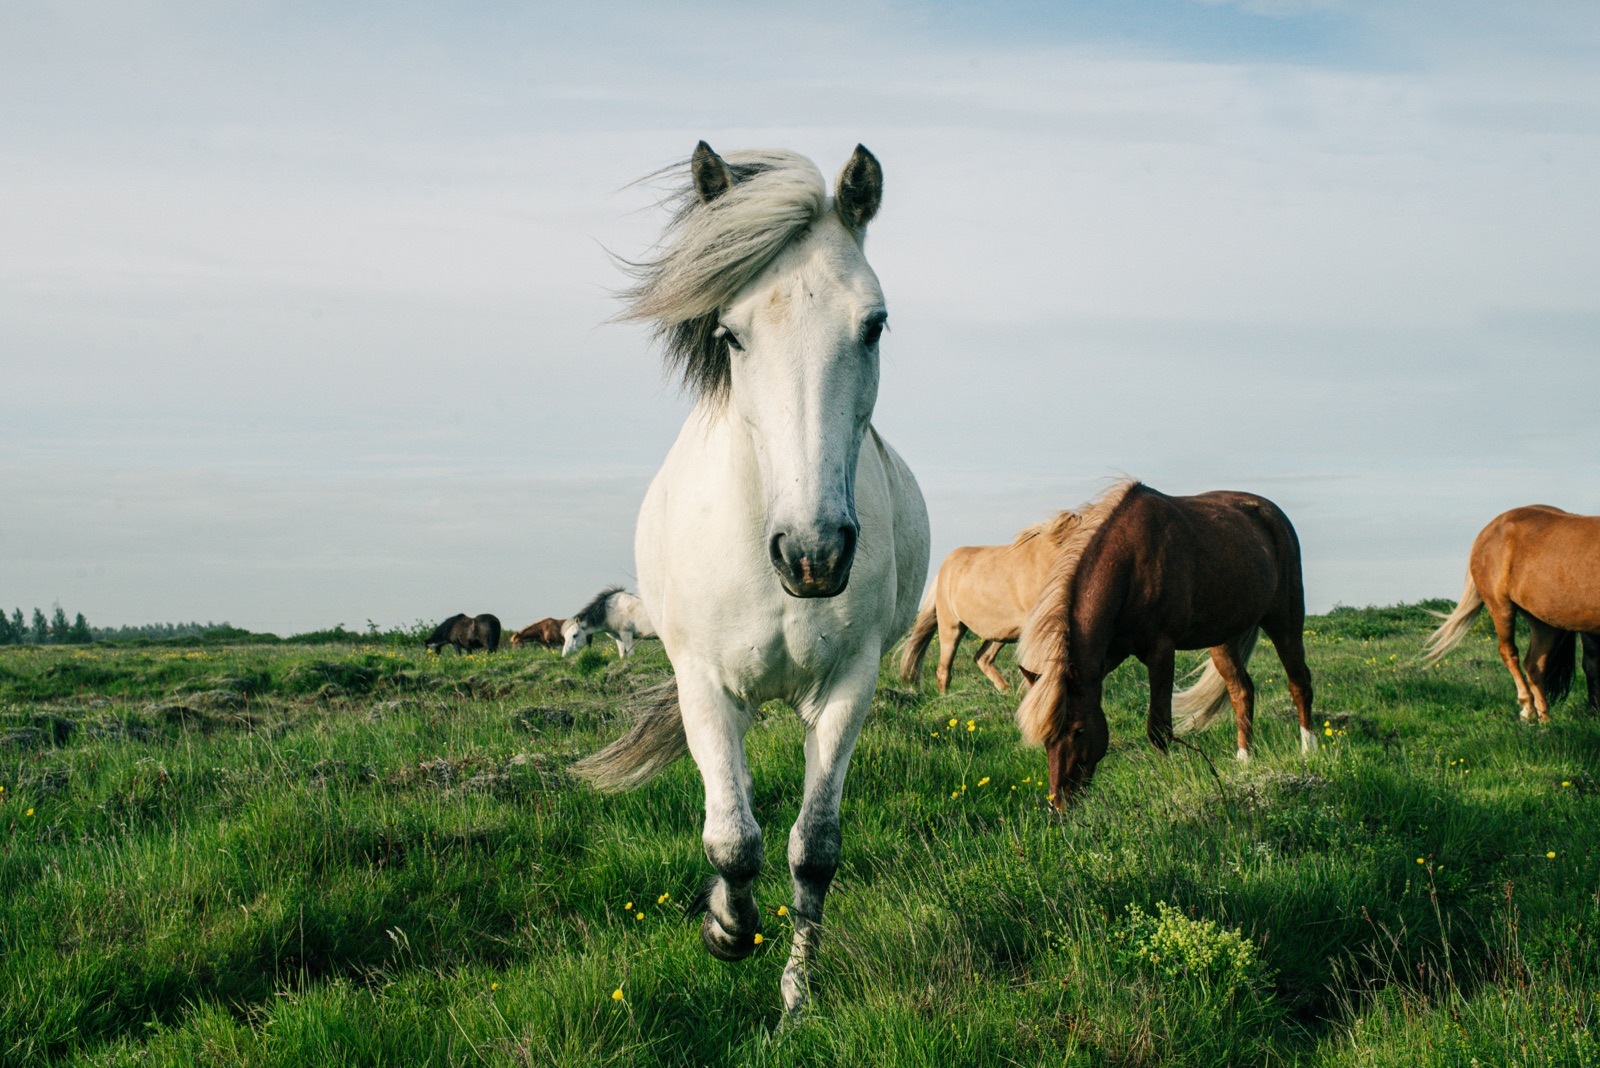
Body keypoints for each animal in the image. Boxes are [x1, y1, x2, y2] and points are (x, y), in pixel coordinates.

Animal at [571, 143, 928, 1015]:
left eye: (874, 324)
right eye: (729, 335)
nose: (813, 553)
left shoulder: (849, 685)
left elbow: (813, 849)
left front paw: (797, 994)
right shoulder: (703, 684)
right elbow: (733, 839)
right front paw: (725, 928)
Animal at [899, 511, 1085, 694]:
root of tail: (942, 570)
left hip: (1004, 631)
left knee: (982, 658)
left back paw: (1007, 691)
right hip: (951, 628)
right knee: (944, 670)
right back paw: (945, 697)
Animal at [1015, 480, 1316, 808]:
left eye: (1079, 730)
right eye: (1046, 739)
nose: (1059, 803)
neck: (1131, 562)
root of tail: (1274, 515)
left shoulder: (1161, 651)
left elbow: (1158, 726)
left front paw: (1166, 776)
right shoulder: (1110, 656)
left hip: (1285, 621)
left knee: (1299, 683)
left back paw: (1308, 749)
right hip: (1223, 639)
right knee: (1241, 692)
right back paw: (1244, 759)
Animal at [1422, 505, 1600, 721]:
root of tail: (1486, 532)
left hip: (1542, 621)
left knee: (1534, 665)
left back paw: (1545, 720)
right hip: (1501, 607)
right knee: (1510, 653)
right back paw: (1528, 710)